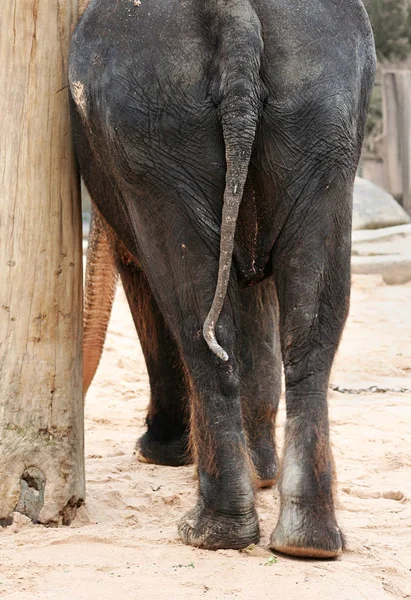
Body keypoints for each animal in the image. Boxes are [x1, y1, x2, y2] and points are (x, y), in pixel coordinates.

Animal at [69, 0, 378, 556]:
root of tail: (233, 17)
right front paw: (262, 475)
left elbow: (146, 275)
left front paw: (162, 456)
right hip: (316, 122)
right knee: (306, 324)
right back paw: (303, 543)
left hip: (156, 134)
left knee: (194, 317)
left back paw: (209, 533)